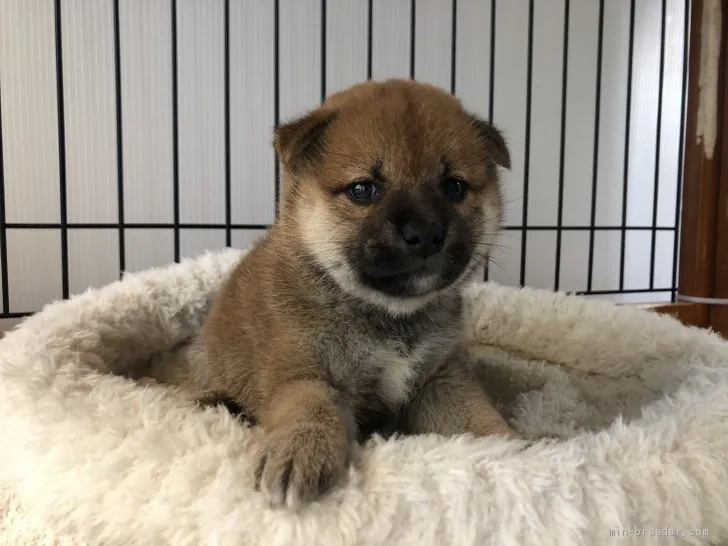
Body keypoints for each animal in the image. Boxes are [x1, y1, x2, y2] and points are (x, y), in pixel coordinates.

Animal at [191, 78, 516, 508]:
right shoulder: (304, 372)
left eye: (454, 187)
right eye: (363, 189)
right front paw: (298, 451)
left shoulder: (441, 379)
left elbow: (476, 418)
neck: (387, 316)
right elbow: (310, 408)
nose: (426, 232)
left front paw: (520, 449)